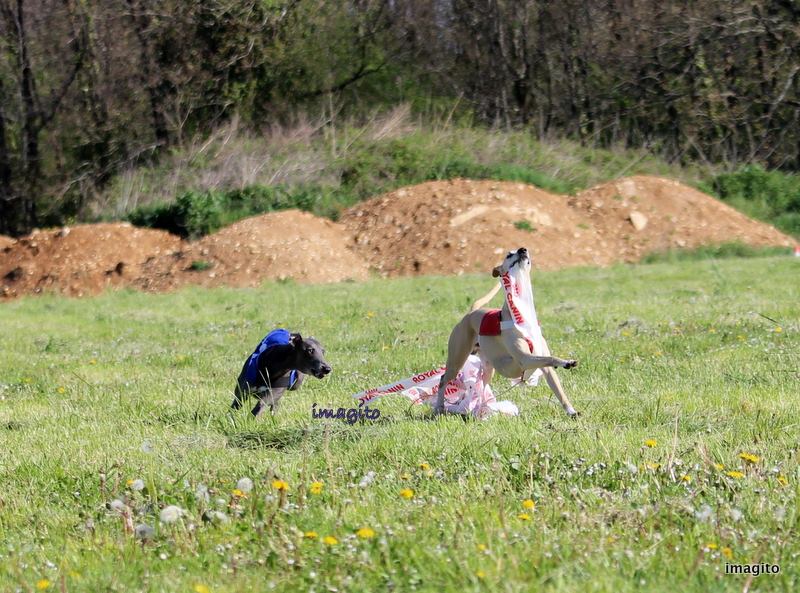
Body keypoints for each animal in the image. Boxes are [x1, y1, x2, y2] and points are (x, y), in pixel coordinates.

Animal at [434, 249, 580, 416]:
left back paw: (484, 409)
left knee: (483, 386)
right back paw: (439, 408)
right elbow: (550, 358)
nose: (523, 249)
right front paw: (566, 362)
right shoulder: (525, 359)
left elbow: (559, 390)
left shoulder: (546, 369)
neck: (521, 317)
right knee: (443, 379)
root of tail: (471, 313)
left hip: (488, 368)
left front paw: (571, 411)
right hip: (457, 359)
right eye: (509, 255)